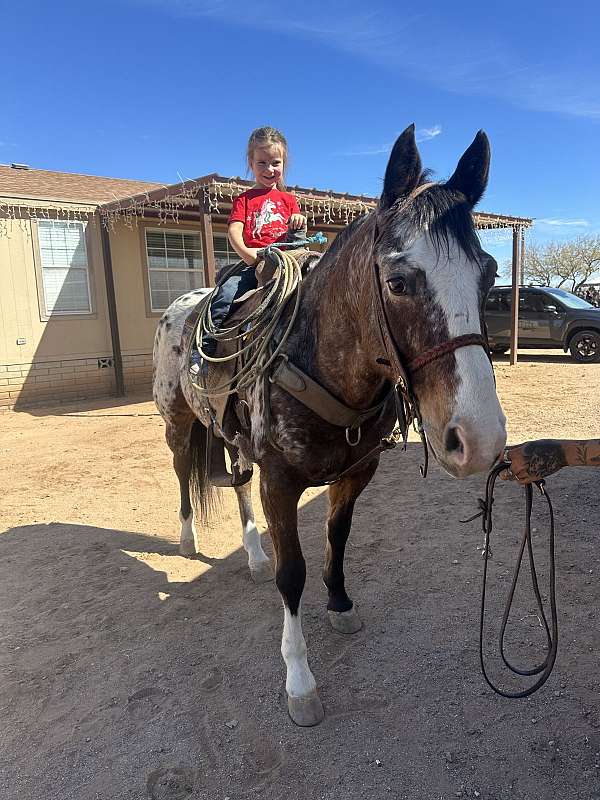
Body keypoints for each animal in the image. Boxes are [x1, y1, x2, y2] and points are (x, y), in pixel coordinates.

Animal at [154, 123, 506, 724]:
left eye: (489, 275)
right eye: (398, 282)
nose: (479, 440)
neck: (317, 358)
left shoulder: (355, 474)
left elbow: (337, 537)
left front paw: (340, 603)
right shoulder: (279, 482)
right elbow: (291, 573)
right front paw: (299, 679)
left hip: (233, 441)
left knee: (237, 487)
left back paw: (252, 554)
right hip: (179, 423)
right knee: (182, 474)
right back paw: (186, 537)